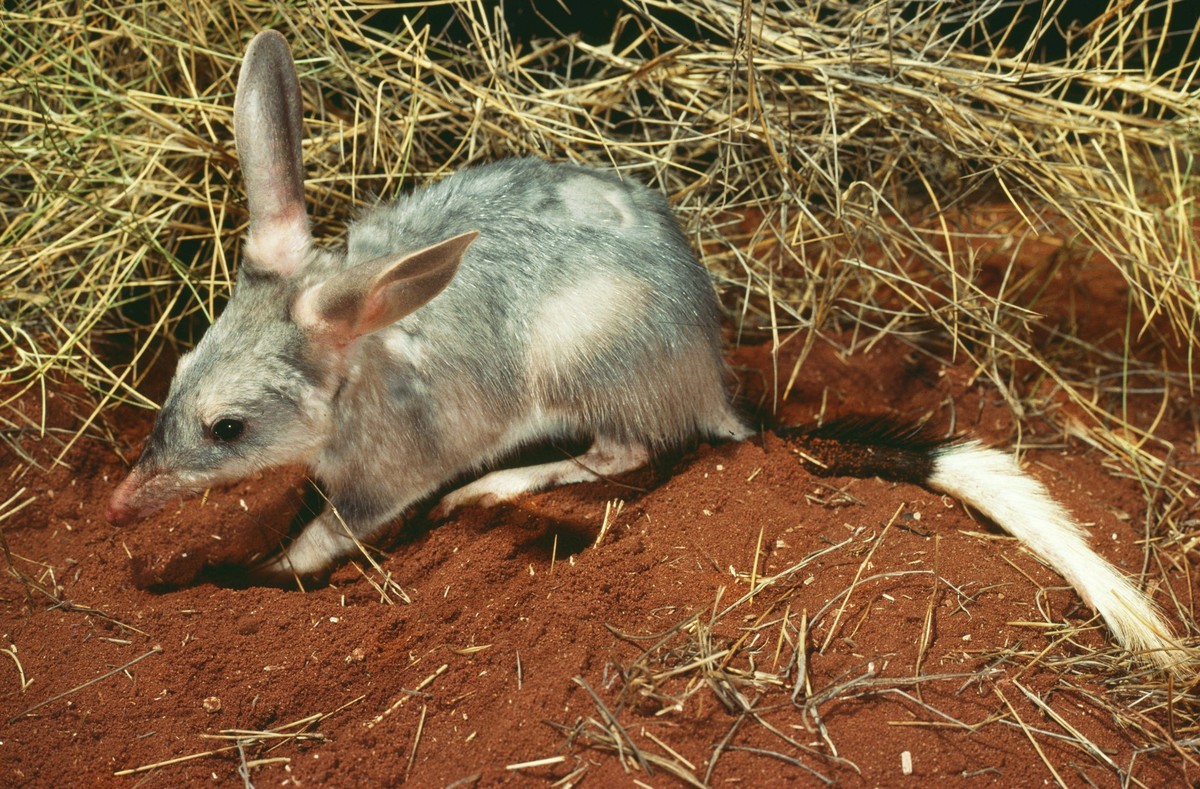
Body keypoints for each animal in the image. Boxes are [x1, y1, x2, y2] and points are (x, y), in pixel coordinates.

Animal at [108, 31, 1187, 673]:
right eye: (175, 381)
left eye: (228, 427)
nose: (117, 508)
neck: (358, 367)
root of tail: (716, 386)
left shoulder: (388, 473)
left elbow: (325, 539)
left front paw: (251, 574)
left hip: (577, 360)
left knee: (621, 453)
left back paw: (495, 488)